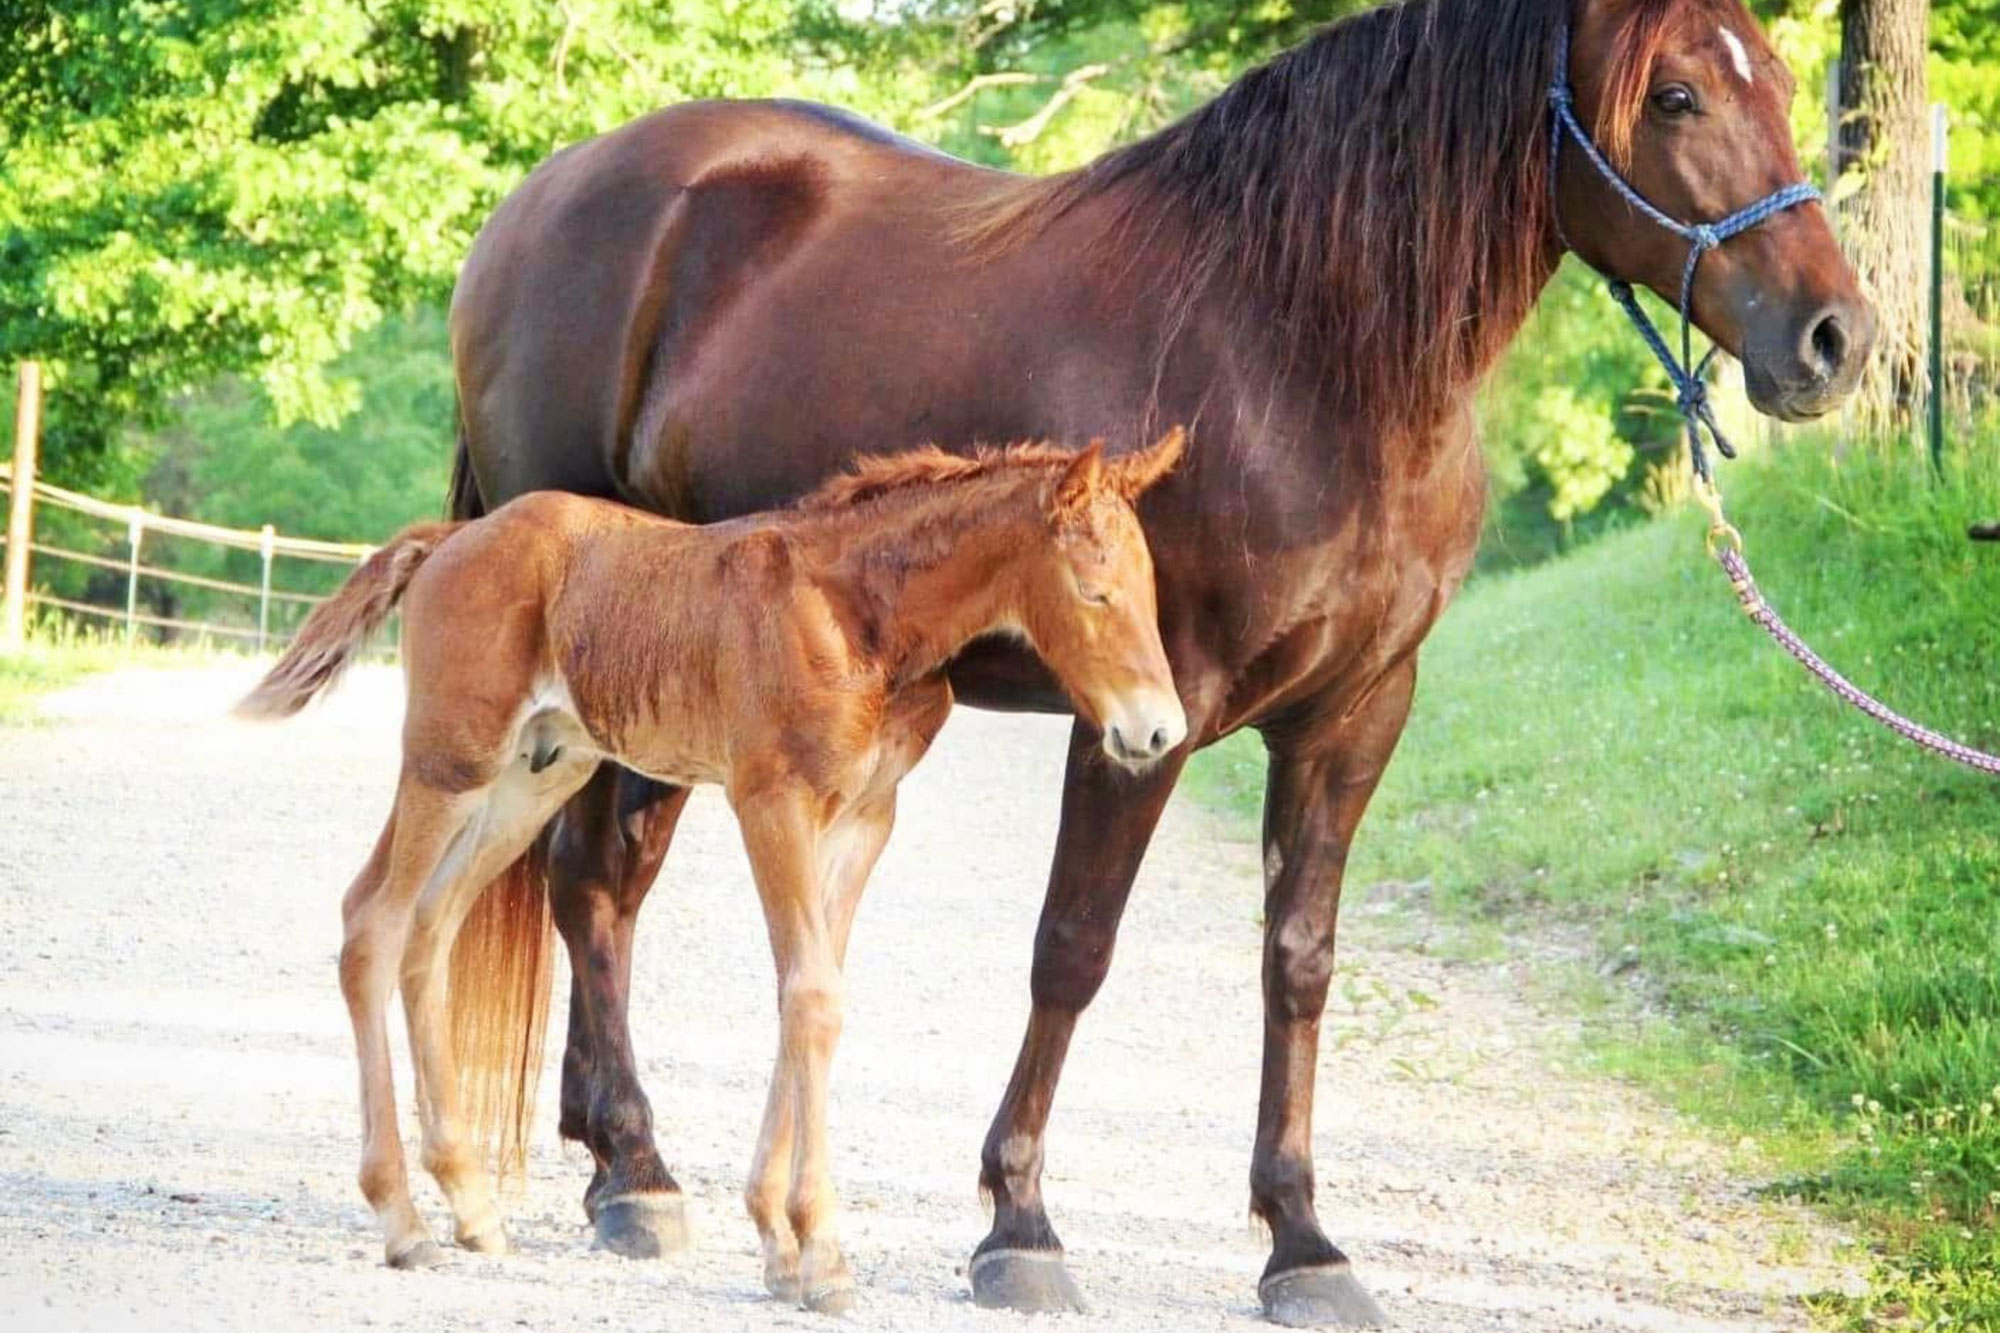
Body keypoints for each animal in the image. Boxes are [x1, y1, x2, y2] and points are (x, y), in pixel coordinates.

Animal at [235, 434, 1187, 1306]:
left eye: (1152, 591)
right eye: (1093, 590)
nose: (1158, 731)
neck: (856, 613)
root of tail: (449, 541)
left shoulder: (864, 818)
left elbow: (809, 992)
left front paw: (777, 1240)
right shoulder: (770, 799)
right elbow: (813, 995)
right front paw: (821, 1254)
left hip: (536, 776)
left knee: (430, 928)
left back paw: (471, 1205)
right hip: (451, 761)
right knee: (373, 920)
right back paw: (402, 1219)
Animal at [445, 0, 1873, 1322]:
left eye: (1781, 76)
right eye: (1675, 94)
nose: (1832, 339)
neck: (1296, 354)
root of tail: (542, 199)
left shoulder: (1355, 714)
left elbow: (1298, 960)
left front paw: (1302, 1241)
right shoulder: (1141, 713)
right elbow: (1071, 946)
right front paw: (1018, 1225)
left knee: (605, 881)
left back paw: (620, 1162)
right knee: (586, 878)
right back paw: (631, 1172)